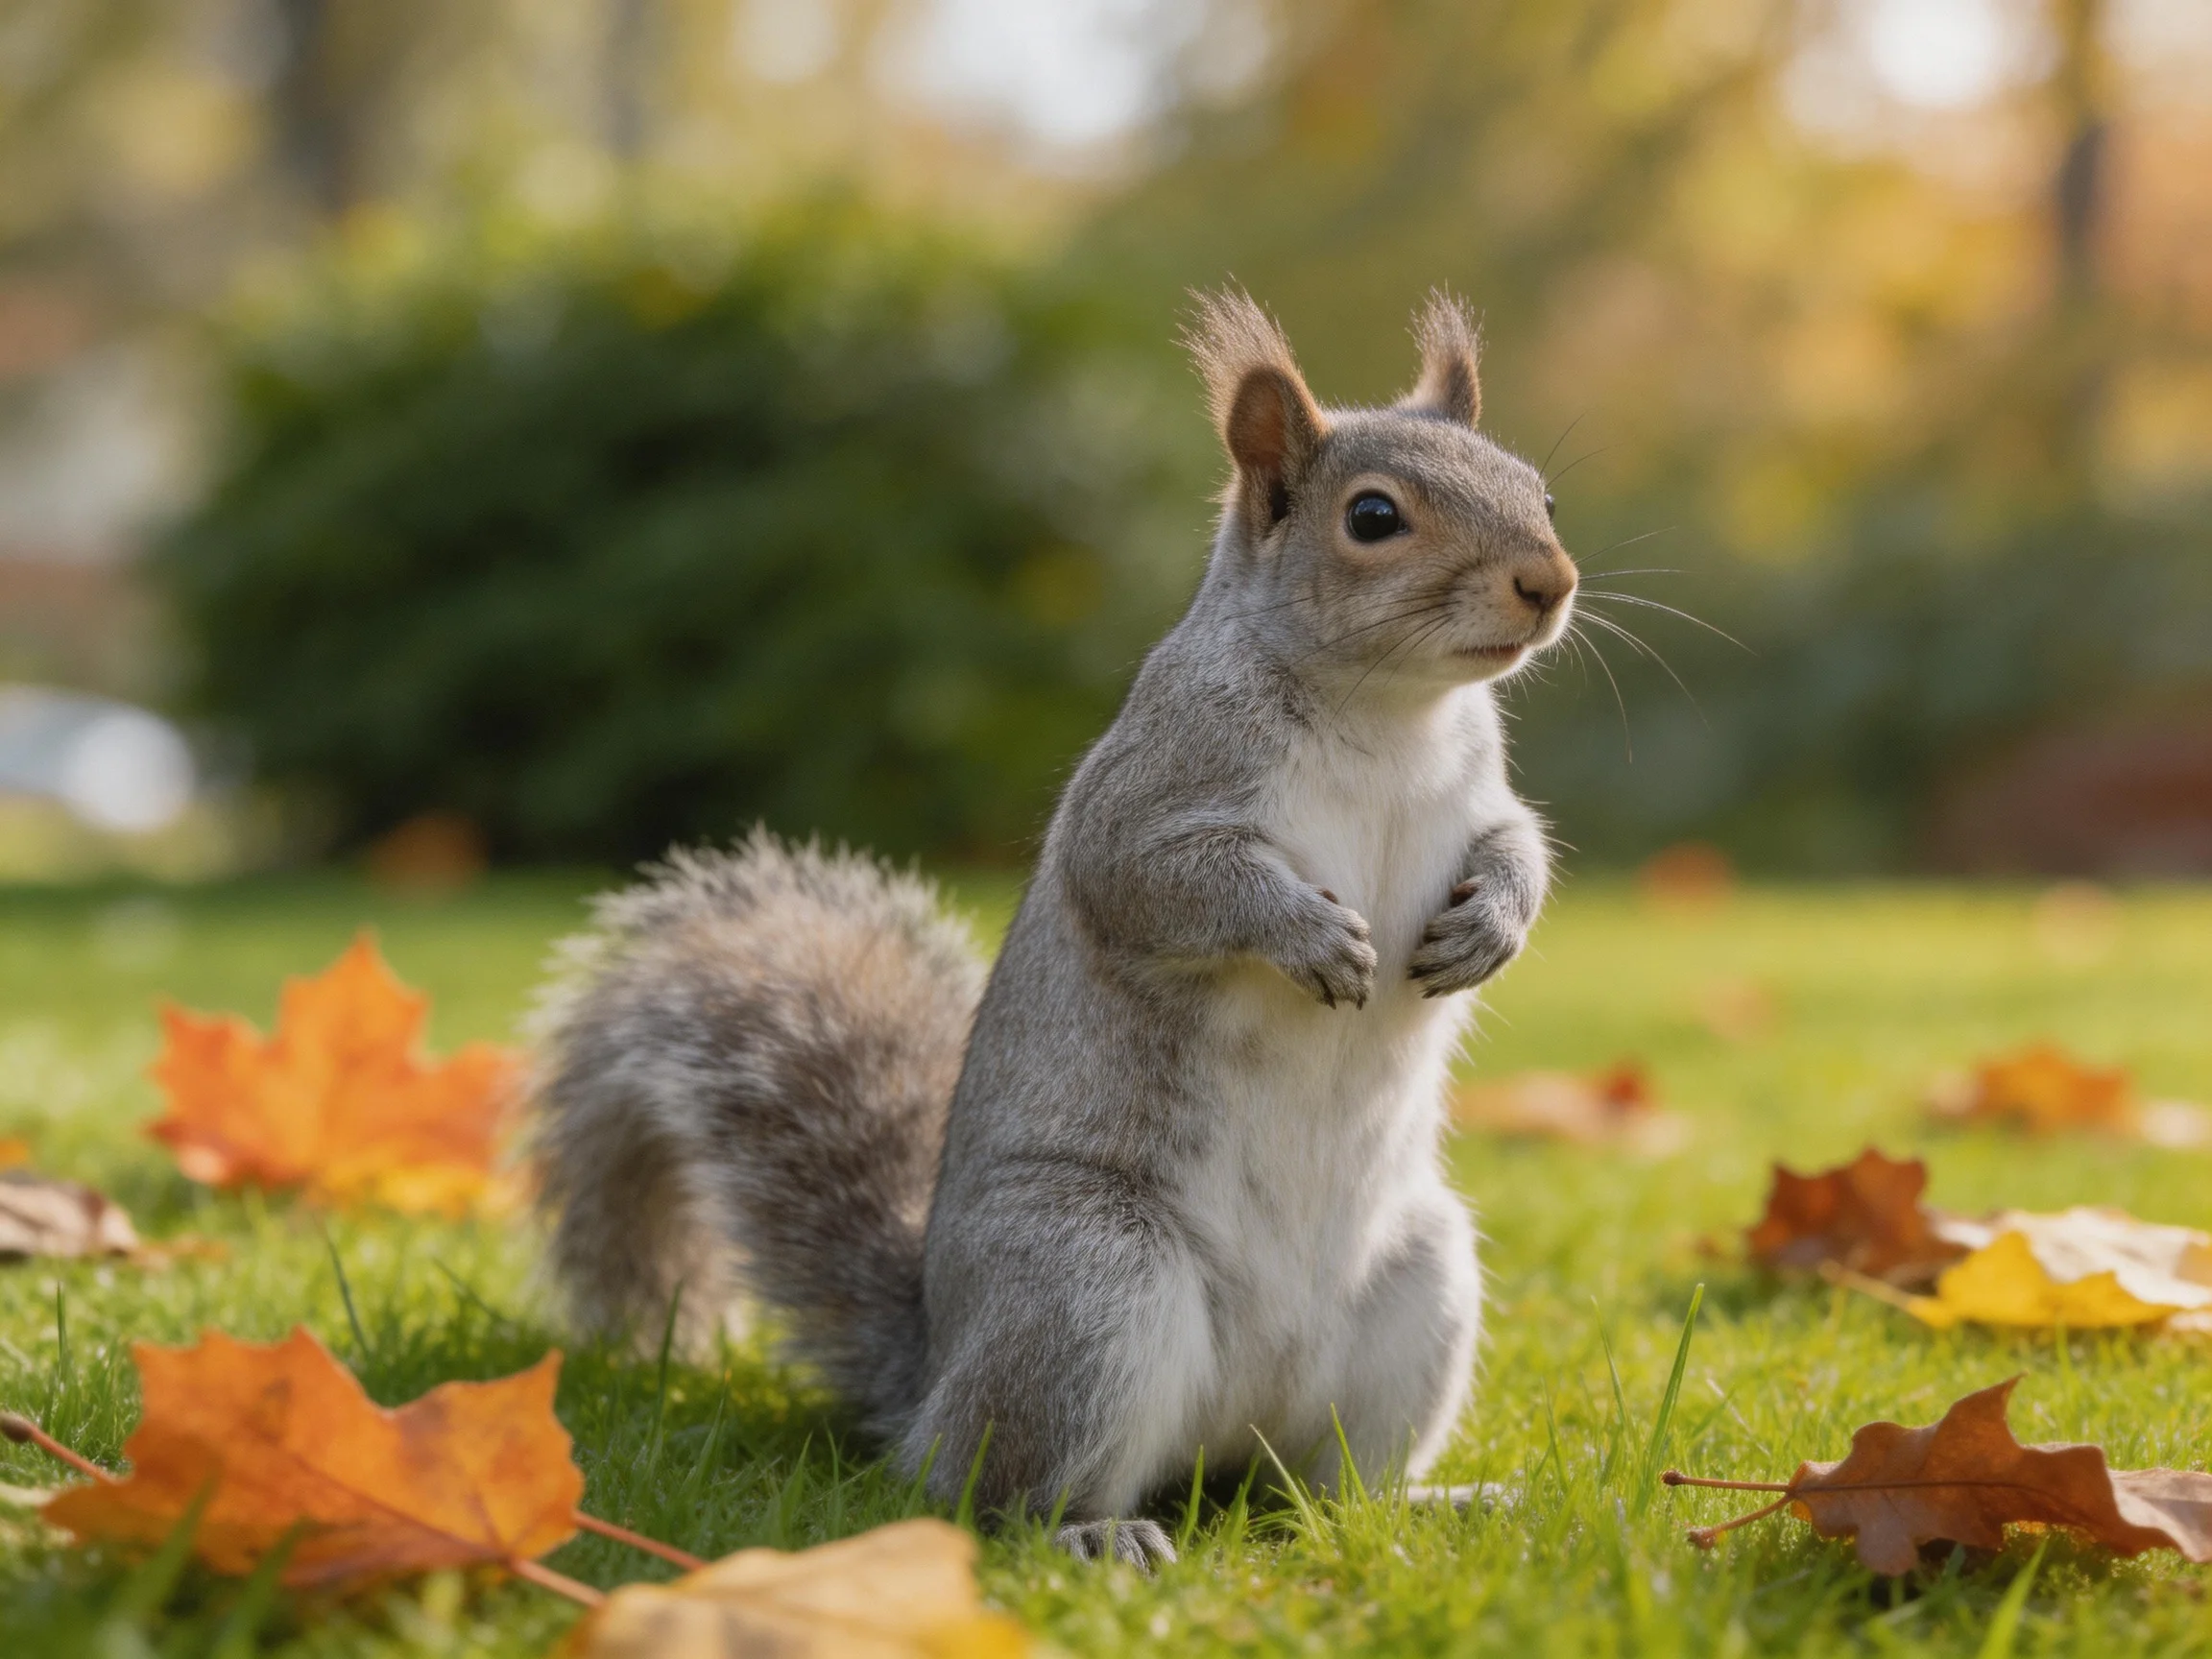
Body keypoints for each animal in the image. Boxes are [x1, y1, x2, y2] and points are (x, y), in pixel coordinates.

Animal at [528, 289, 1577, 1568]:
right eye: (1373, 516)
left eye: (1541, 493)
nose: (1549, 580)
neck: (1390, 713)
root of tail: (934, 1379)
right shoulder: (1143, 802)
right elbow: (1166, 885)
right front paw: (1307, 938)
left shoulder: (1483, 798)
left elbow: (1518, 848)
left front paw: (1493, 929)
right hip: (1087, 1287)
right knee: (993, 1496)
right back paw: (1093, 1537)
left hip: (1417, 1291)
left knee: (1321, 1495)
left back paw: (1430, 1505)